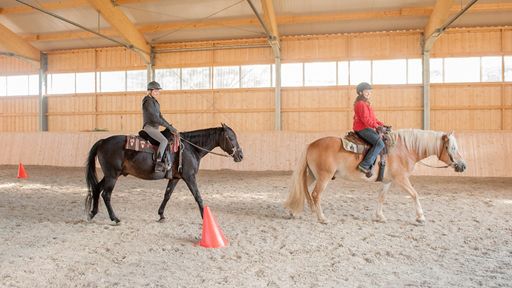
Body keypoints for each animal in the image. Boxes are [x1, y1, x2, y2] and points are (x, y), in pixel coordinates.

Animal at [84, 123, 244, 223]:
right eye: (231, 137)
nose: (240, 155)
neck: (189, 149)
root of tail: (103, 141)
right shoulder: (189, 177)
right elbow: (198, 197)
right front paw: (204, 217)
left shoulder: (175, 178)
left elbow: (167, 195)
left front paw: (161, 215)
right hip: (112, 176)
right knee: (106, 194)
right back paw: (115, 218)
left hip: (110, 175)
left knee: (97, 189)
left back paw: (92, 213)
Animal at [286, 129, 466, 224]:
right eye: (452, 148)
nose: (463, 166)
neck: (403, 149)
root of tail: (311, 144)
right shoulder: (401, 179)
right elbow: (415, 194)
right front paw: (420, 217)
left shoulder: (388, 181)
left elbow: (381, 197)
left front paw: (380, 216)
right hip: (324, 177)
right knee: (316, 194)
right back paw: (322, 218)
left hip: (312, 175)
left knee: (302, 189)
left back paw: (292, 211)